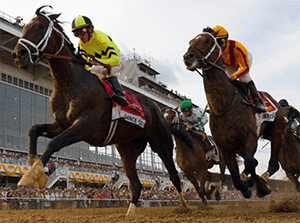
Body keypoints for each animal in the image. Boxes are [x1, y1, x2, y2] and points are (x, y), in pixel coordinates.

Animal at [12, 6, 188, 215]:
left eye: (39, 27)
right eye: (25, 27)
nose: (18, 54)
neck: (71, 83)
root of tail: (159, 110)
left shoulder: (85, 126)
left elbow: (54, 143)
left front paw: (32, 175)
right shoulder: (62, 124)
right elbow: (34, 130)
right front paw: (34, 167)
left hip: (161, 143)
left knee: (174, 176)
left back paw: (187, 206)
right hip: (127, 149)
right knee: (136, 184)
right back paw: (130, 212)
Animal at [183, 32, 286, 198]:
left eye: (206, 40)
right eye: (190, 42)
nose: (188, 57)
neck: (225, 105)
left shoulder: (249, 138)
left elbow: (250, 163)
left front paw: (260, 188)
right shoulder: (225, 147)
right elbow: (236, 175)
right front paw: (246, 188)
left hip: (276, 131)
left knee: (273, 164)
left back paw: (262, 181)